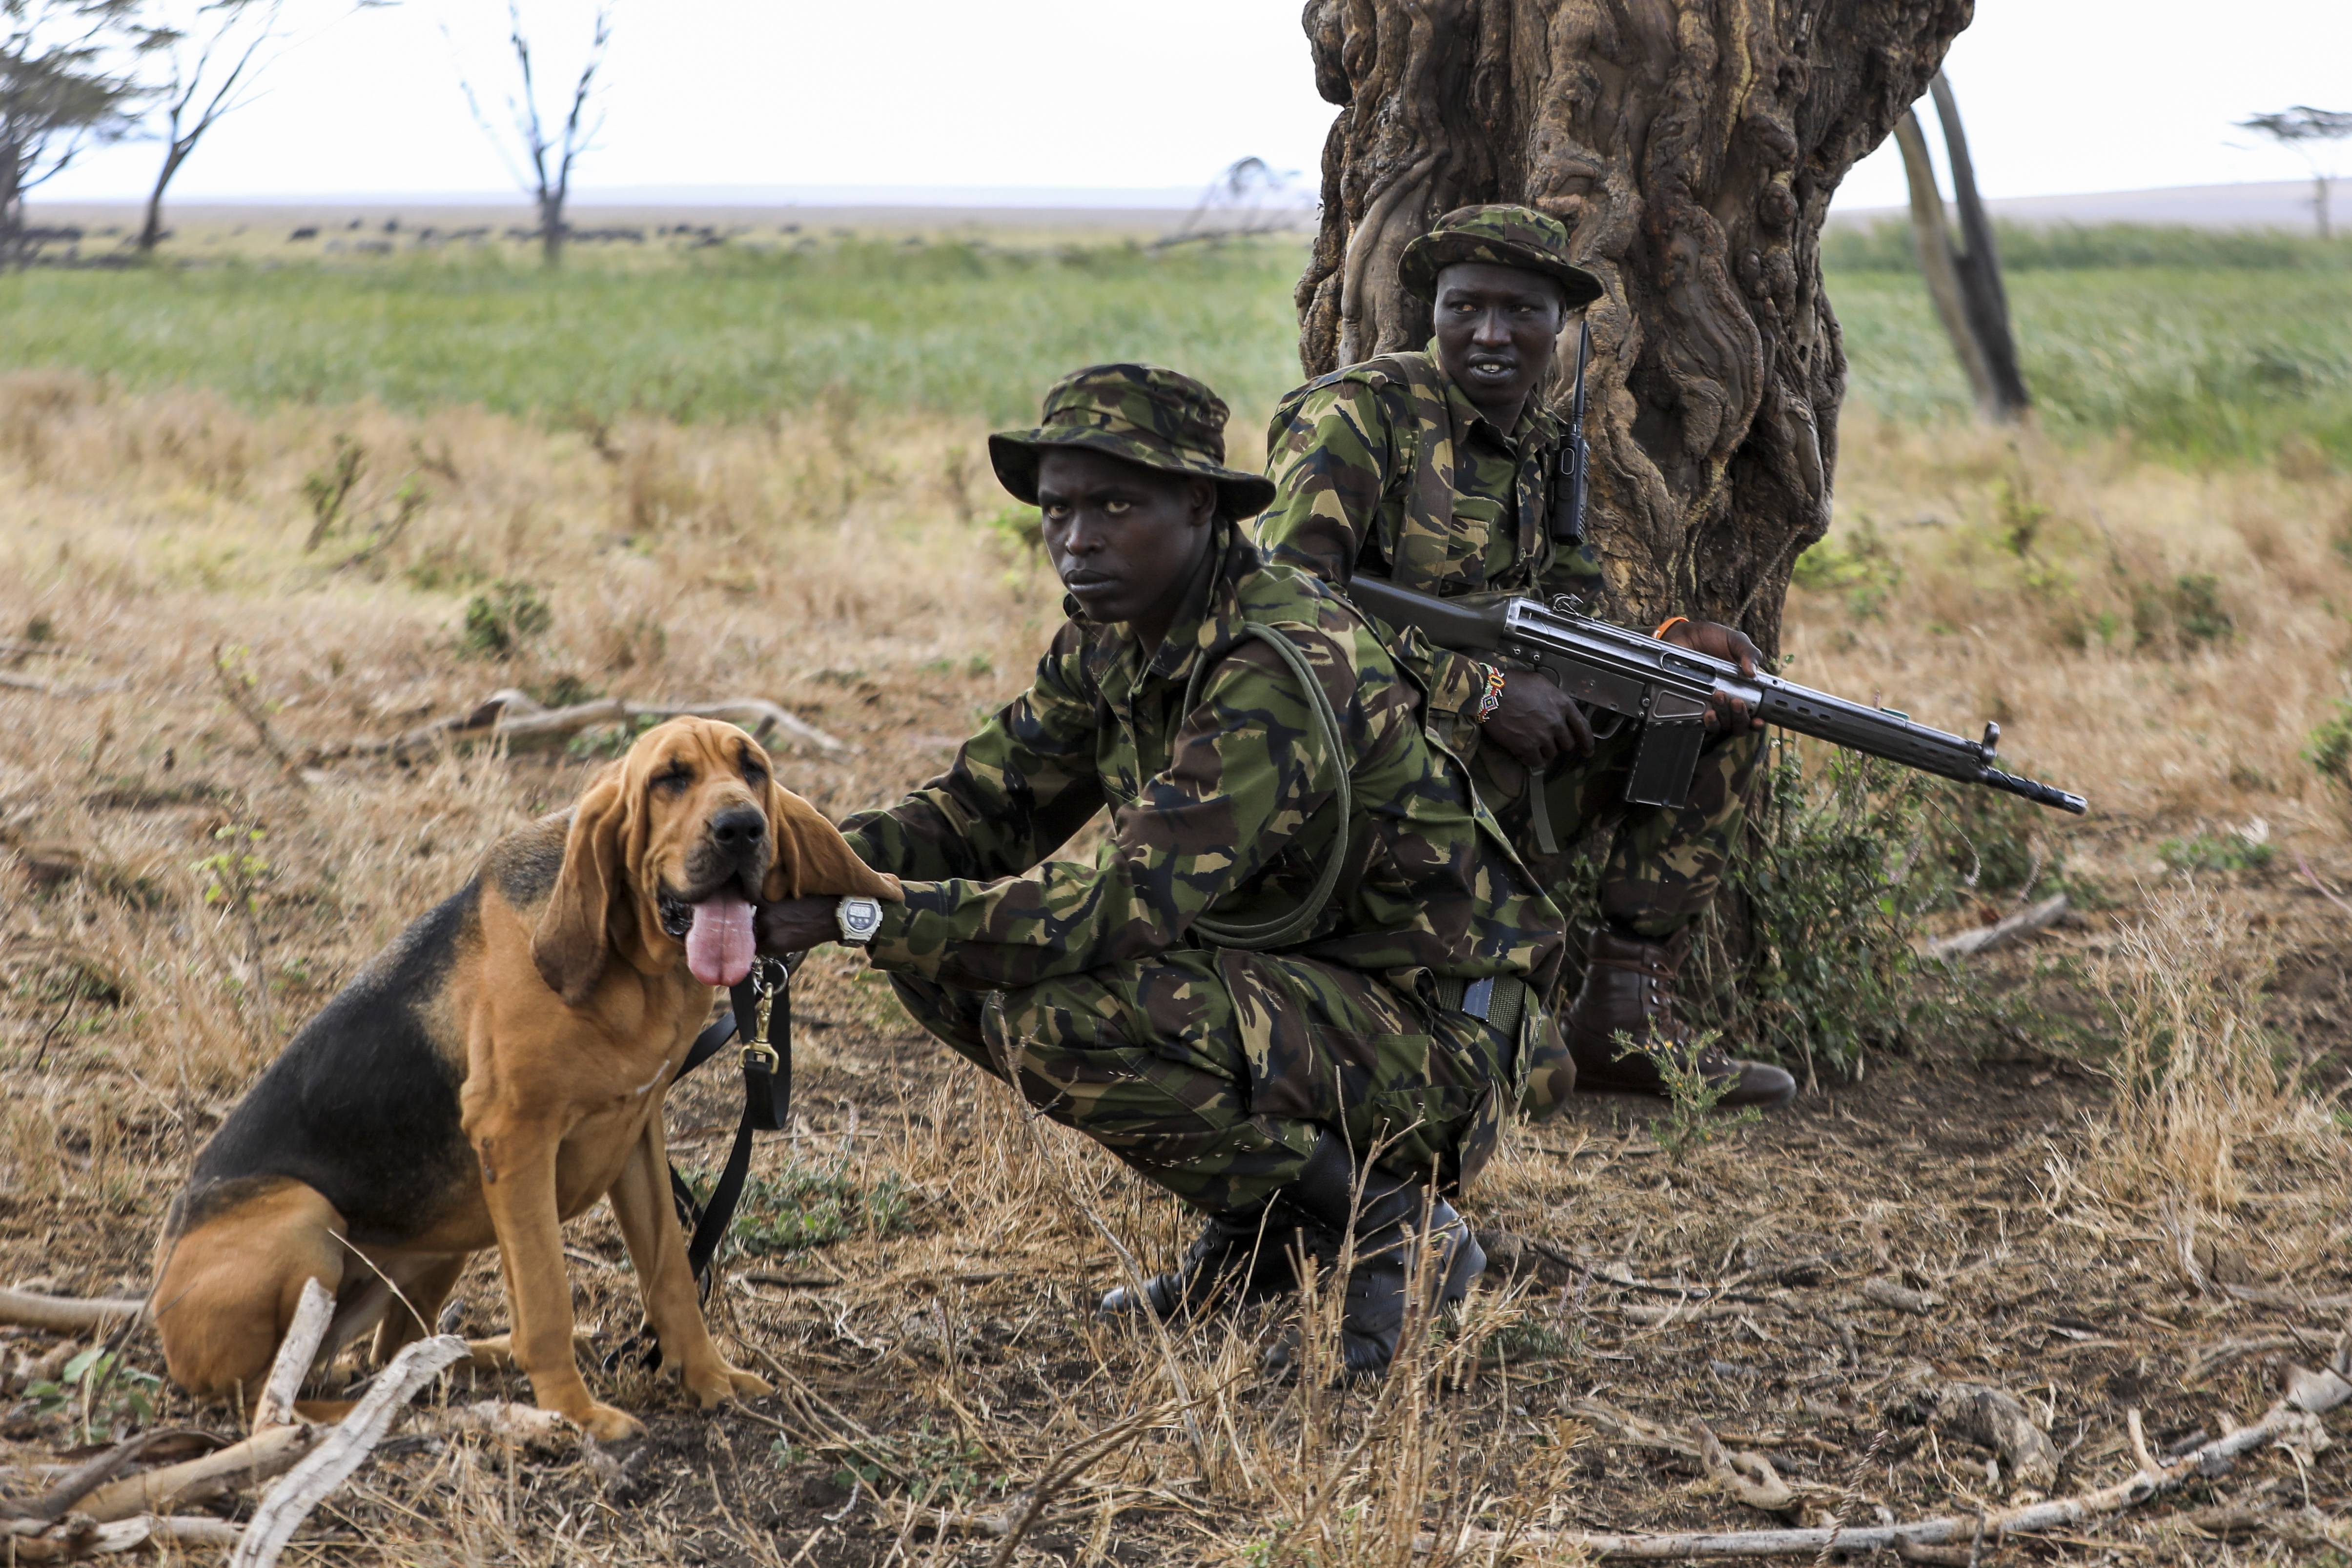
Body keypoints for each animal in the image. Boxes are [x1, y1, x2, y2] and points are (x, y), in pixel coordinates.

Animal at [149, 719, 898, 1439]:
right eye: (670, 778)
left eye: (753, 769)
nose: (742, 828)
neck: (637, 968)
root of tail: (158, 1304)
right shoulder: (515, 1142)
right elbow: (546, 1298)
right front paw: (575, 1413)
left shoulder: (637, 1137)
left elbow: (671, 1277)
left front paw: (708, 1378)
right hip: (313, 1220)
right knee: (269, 1398)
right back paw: (374, 1414)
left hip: (448, 1230)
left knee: (392, 1348)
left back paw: (457, 1363)